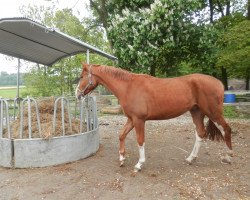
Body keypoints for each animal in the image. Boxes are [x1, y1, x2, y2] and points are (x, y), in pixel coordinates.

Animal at [75, 63, 232, 172]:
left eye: (82, 77)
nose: (77, 94)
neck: (128, 87)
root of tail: (219, 83)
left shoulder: (139, 120)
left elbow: (140, 140)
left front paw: (139, 164)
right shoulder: (131, 119)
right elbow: (121, 135)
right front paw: (122, 159)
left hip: (214, 113)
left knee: (226, 129)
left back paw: (228, 156)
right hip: (196, 112)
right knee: (200, 134)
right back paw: (190, 159)